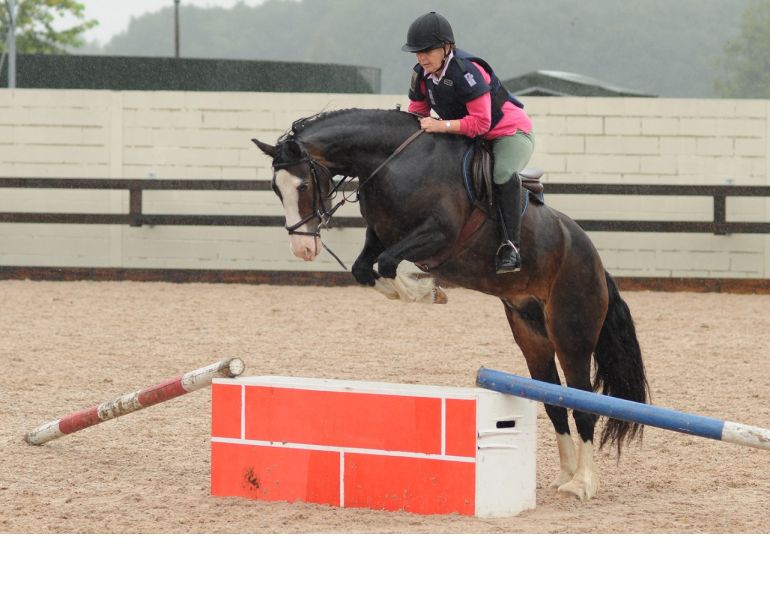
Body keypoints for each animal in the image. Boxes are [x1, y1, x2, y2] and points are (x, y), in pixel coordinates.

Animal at [253, 107, 649, 502]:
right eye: (275, 189)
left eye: (303, 186)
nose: (303, 249)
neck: (392, 160)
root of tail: (594, 261)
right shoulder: (382, 234)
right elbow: (365, 269)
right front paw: (419, 291)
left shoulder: (438, 233)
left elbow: (387, 264)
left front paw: (427, 292)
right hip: (531, 332)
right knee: (554, 399)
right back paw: (565, 476)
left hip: (571, 332)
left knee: (583, 403)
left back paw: (582, 482)